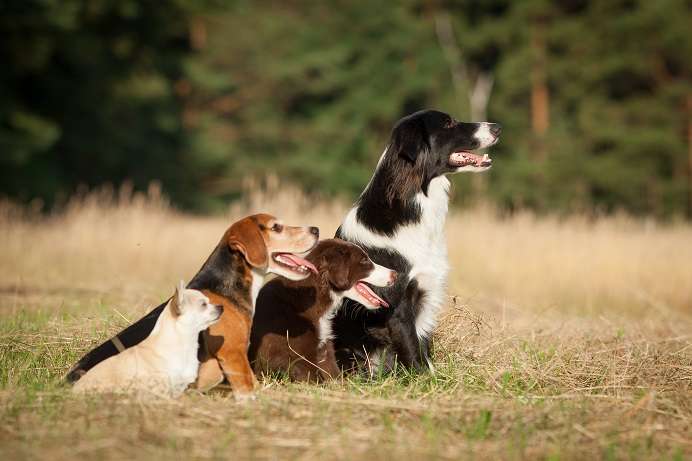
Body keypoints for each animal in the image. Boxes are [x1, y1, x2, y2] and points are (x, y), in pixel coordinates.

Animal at [332, 109, 500, 372]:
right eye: (448, 123)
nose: (498, 127)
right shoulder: (397, 305)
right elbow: (413, 352)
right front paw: (423, 377)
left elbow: (423, 348)